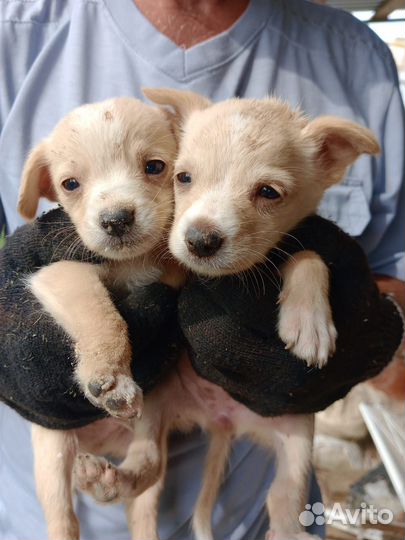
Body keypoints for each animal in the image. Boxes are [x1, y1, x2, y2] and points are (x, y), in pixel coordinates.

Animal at [15, 98, 177, 540]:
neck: (129, 264)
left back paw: (110, 482)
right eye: (70, 184)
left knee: (149, 466)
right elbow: (102, 315)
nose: (116, 219)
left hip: (154, 413)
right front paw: (110, 375)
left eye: (155, 166)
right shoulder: (61, 273)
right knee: (61, 516)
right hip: (52, 448)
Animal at [76, 92, 378, 540]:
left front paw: (309, 321)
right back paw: (111, 479)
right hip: (153, 407)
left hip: (297, 435)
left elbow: (307, 255)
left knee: (283, 500)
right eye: (182, 177)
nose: (199, 240)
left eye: (268, 192)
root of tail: (220, 418)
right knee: (149, 465)